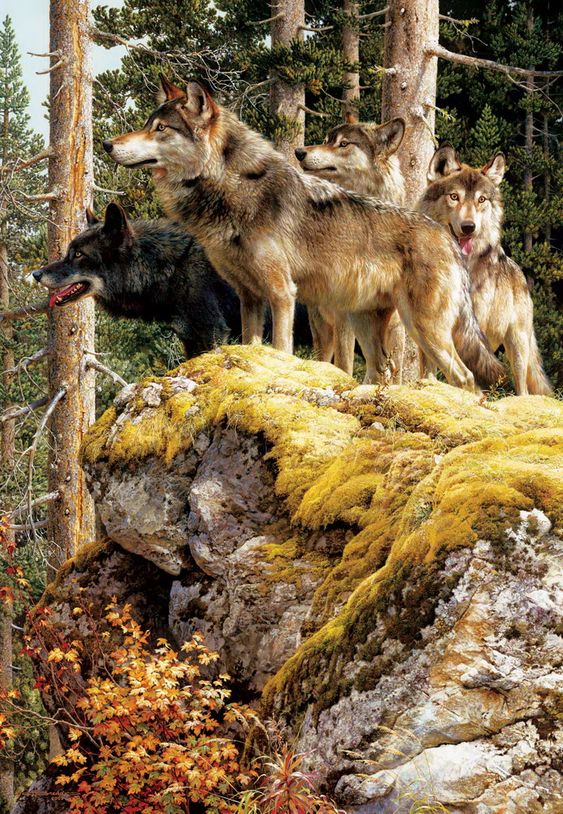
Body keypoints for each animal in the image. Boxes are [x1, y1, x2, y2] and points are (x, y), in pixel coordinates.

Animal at [32, 202, 240, 358]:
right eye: (69, 252)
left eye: (78, 254)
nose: (36, 274)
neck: (171, 266)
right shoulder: (190, 338)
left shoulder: (213, 332)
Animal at [295, 118, 406, 377]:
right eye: (326, 140)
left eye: (344, 144)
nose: (299, 152)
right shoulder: (343, 319)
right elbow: (344, 366)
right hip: (323, 326)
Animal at [419, 145, 551, 395]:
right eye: (454, 196)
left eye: (481, 199)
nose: (469, 227)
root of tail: (518, 271)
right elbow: (429, 366)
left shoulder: (472, 328)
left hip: (517, 346)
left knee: (522, 386)